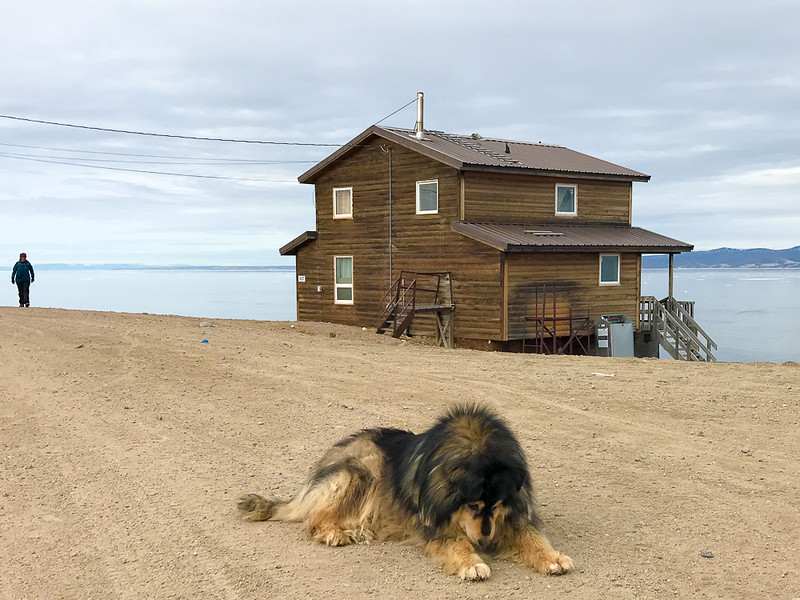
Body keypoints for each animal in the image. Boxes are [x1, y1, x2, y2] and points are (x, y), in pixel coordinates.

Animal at [234, 404, 572, 580]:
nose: (487, 539)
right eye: (472, 506)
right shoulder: (436, 525)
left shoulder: (513, 516)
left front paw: (553, 557)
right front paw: (472, 562)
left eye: (498, 503)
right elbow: (457, 544)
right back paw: (334, 531)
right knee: (314, 518)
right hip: (359, 472)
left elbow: (532, 538)